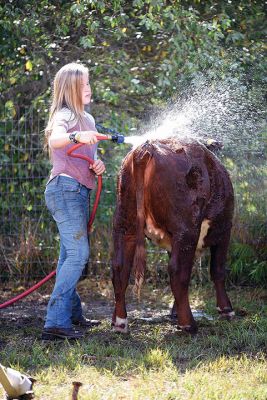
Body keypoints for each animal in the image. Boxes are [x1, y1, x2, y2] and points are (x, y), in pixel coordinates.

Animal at [112, 138, 236, 334]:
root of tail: (146, 148)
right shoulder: (224, 230)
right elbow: (218, 270)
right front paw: (226, 310)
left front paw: (174, 312)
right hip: (186, 228)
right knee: (177, 271)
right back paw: (188, 325)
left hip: (125, 223)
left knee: (120, 268)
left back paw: (119, 322)